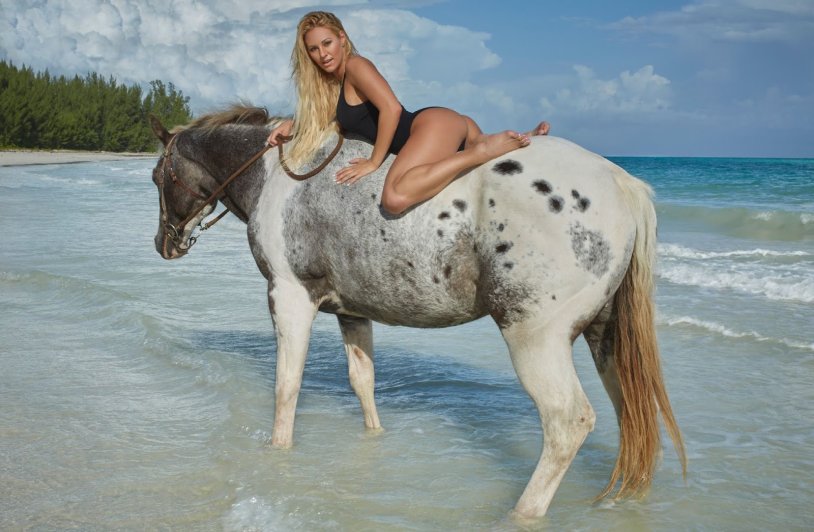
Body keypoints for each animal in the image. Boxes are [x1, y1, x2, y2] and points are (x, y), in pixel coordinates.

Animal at [148, 105, 685, 518]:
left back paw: (523, 513)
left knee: (567, 423)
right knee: (628, 411)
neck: (282, 174)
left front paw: (277, 454)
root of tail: (618, 181)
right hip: (605, 337)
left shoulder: (289, 297)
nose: (163, 245)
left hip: (535, 338)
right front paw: (374, 439)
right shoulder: (351, 311)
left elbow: (287, 387)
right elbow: (362, 382)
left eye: (157, 176)